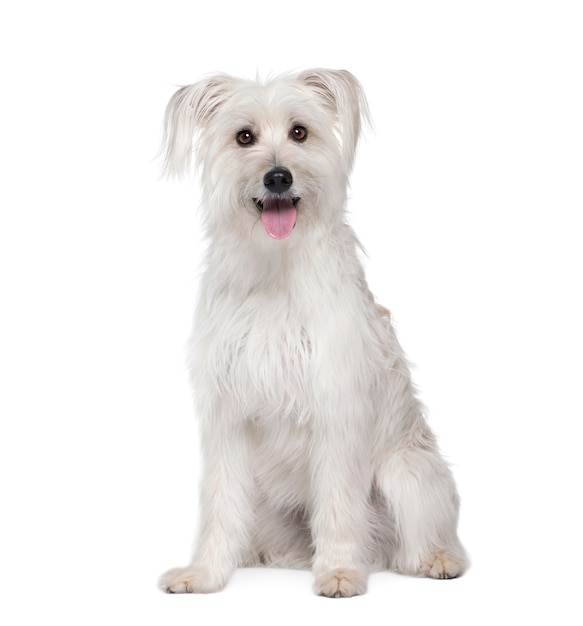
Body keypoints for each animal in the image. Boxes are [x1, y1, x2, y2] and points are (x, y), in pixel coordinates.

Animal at [157, 68, 468, 596]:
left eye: (299, 132)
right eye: (244, 136)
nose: (278, 176)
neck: (275, 270)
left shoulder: (336, 410)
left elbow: (339, 502)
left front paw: (340, 571)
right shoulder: (228, 417)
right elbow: (220, 505)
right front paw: (204, 573)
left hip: (406, 473)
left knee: (425, 537)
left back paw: (435, 559)